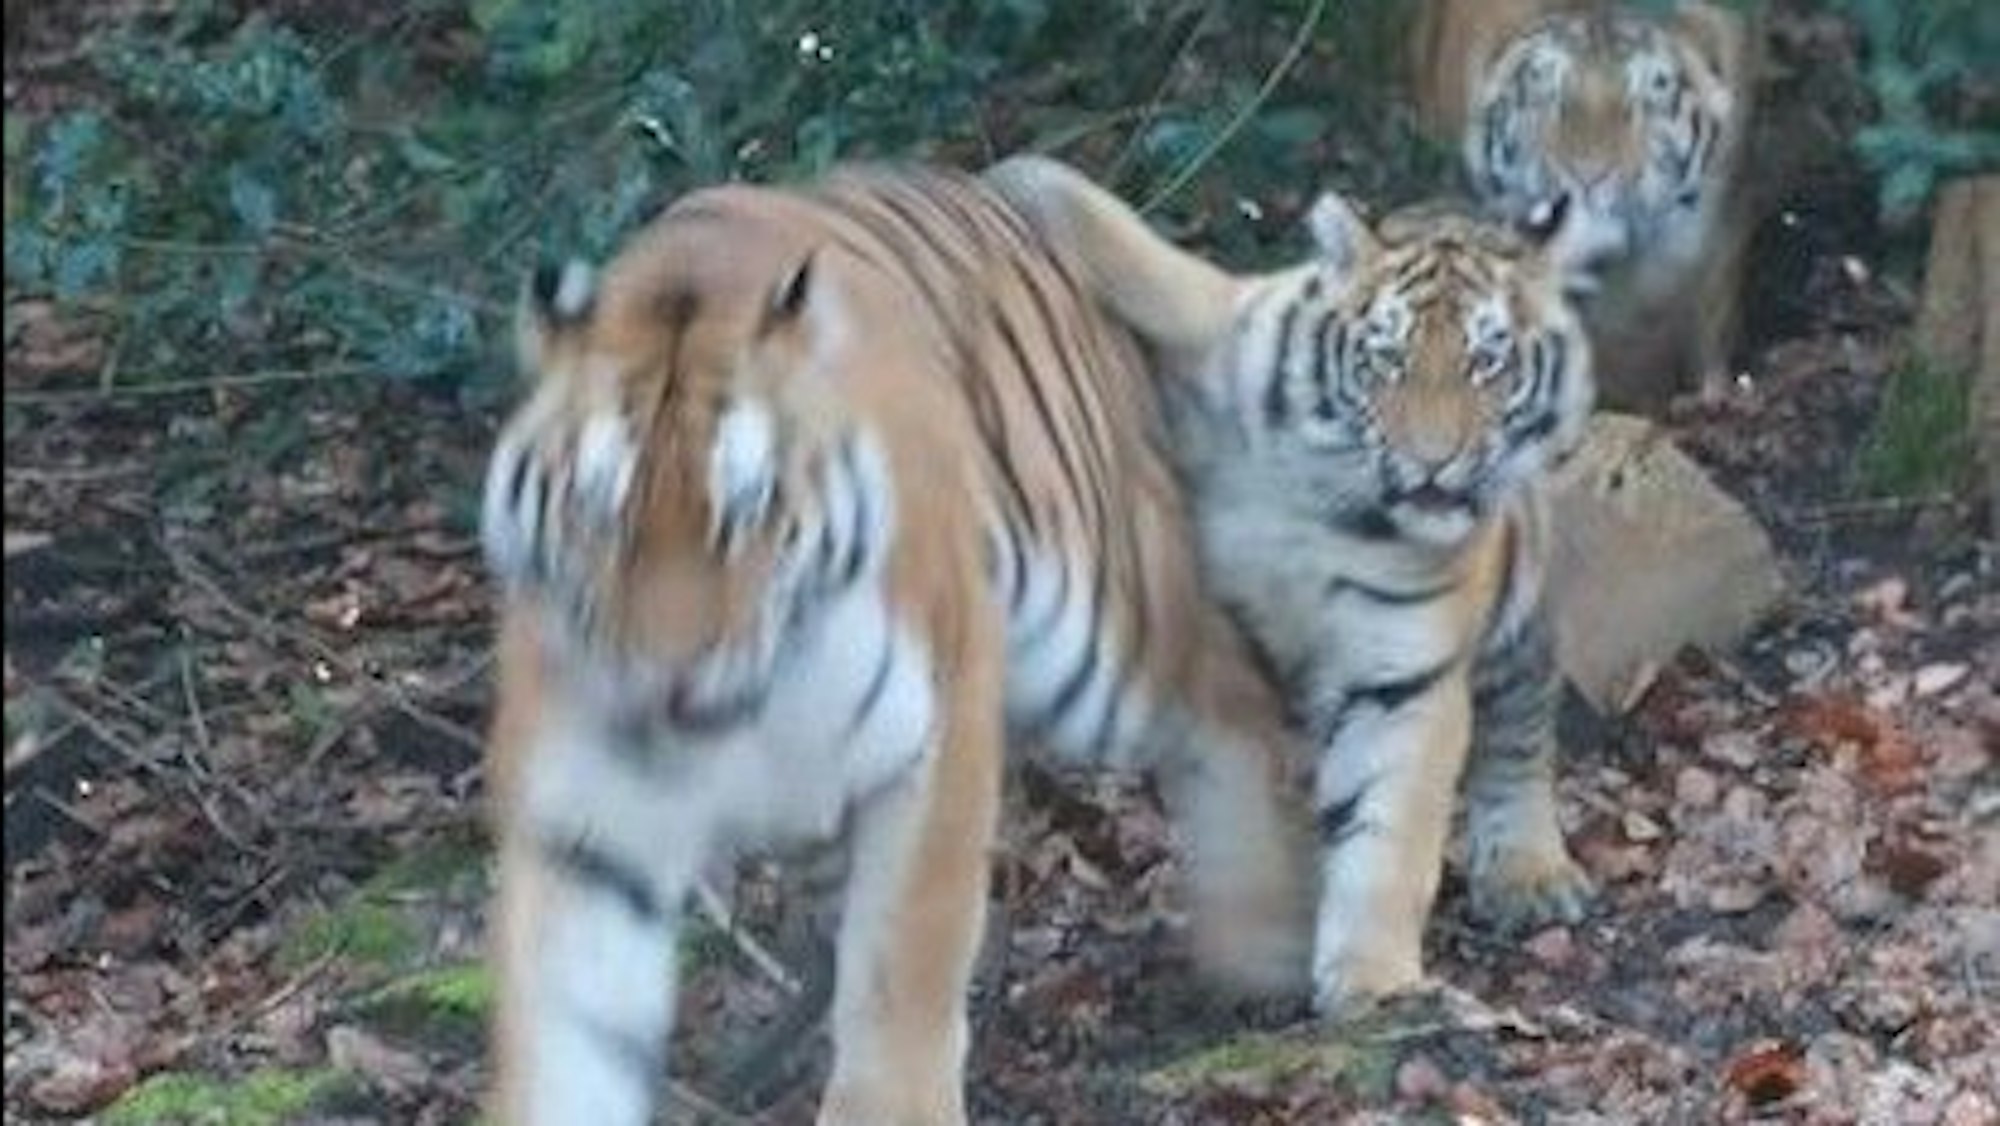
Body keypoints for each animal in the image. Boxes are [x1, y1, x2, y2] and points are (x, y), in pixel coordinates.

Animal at [478, 162, 1312, 1125]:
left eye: (745, 514)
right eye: (599, 516)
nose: (668, 679)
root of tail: (988, 187)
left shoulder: (938, 734)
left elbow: (903, 971)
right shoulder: (585, 825)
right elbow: (569, 1036)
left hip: (1101, 616)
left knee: (1231, 690)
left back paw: (1264, 946)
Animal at [987, 154, 1600, 1013]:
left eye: (1488, 363)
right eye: (1387, 359)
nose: (1432, 462)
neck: (1336, 501)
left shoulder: (1401, 678)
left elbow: (1387, 831)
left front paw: (1374, 981)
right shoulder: (1224, 317)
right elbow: (1132, 245)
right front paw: (1020, 182)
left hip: (1524, 607)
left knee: (1520, 727)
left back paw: (1529, 872)